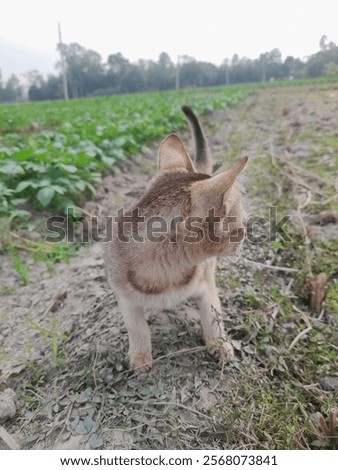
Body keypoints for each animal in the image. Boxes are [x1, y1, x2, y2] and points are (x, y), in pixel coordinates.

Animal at [104, 105, 247, 370]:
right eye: (239, 225)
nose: (245, 235)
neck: (165, 270)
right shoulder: (124, 296)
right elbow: (137, 328)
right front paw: (140, 356)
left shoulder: (205, 286)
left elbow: (213, 316)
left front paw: (219, 344)